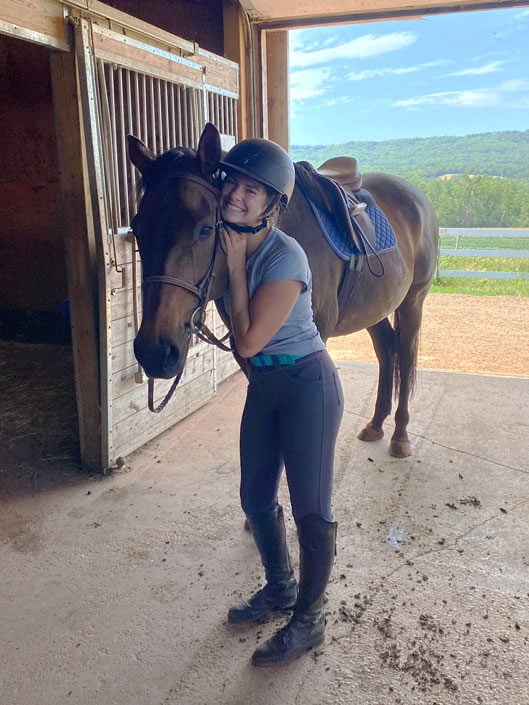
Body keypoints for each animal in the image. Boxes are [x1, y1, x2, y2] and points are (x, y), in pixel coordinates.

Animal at [127, 121, 438, 456]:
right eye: (138, 229)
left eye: (206, 228)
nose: (154, 351)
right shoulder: (246, 348)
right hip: (374, 308)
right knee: (386, 349)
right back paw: (377, 423)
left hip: (413, 301)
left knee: (404, 353)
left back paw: (400, 436)